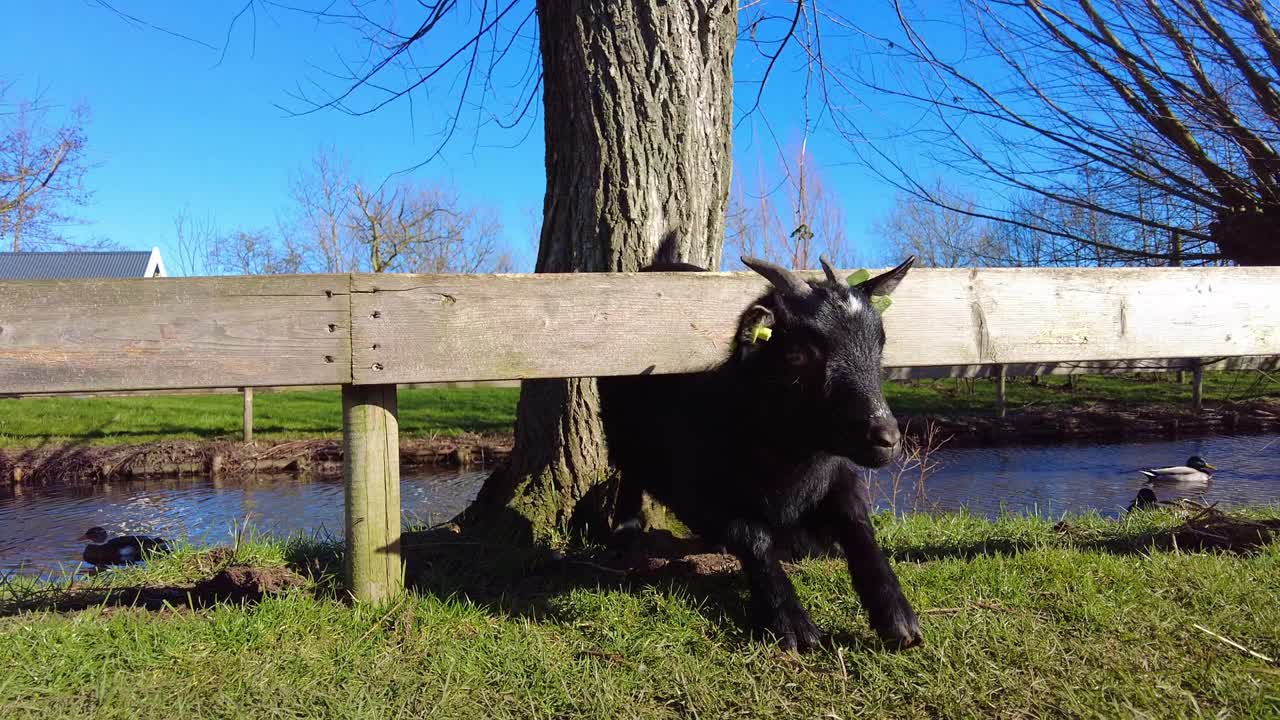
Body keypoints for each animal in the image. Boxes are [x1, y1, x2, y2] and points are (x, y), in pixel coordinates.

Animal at [598, 254, 922, 651]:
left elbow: (857, 523)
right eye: (797, 355)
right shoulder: (693, 491)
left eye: (880, 346)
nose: (886, 437)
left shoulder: (839, 475)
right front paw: (791, 621)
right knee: (629, 471)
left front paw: (897, 616)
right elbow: (750, 534)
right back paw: (626, 528)